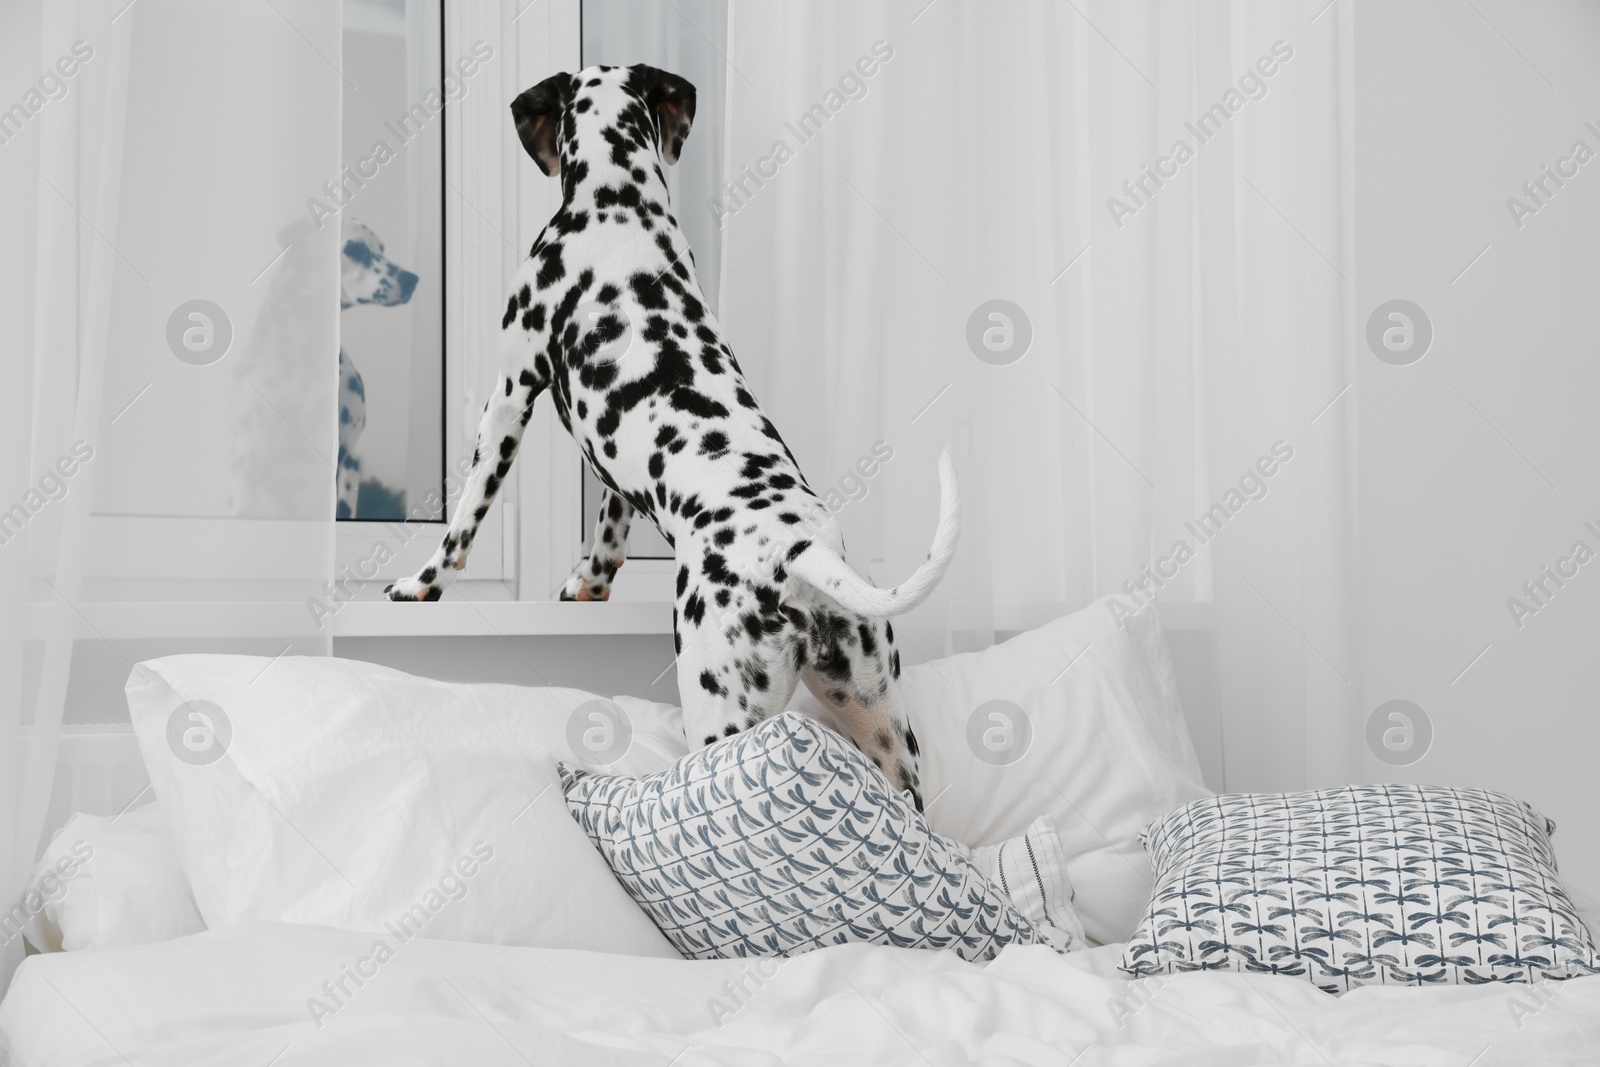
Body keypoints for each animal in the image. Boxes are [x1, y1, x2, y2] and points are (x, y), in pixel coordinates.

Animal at [384, 64, 960, 809]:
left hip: (721, 715)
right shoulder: (609, 469)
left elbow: (463, 522)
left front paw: (421, 584)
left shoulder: (509, 394)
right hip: (884, 733)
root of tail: (798, 555)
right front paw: (589, 585)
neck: (617, 205)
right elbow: (608, 530)